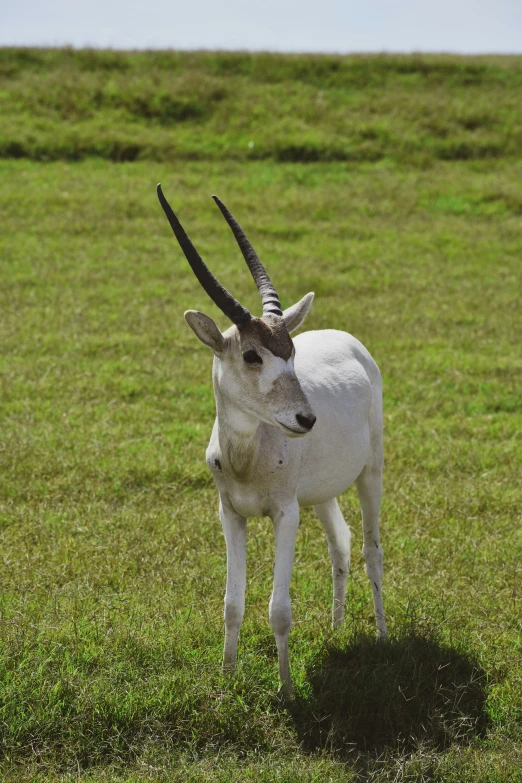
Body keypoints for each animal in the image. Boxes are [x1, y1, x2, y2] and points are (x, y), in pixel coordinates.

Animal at [156, 185, 384, 700]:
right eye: (252, 354)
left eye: (291, 351)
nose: (306, 418)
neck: (246, 459)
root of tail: (350, 340)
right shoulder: (231, 515)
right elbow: (232, 603)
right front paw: (227, 677)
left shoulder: (285, 514)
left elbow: (279, 610)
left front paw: (286, 689)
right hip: (319, 495)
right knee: (341, 542)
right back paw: (337, 631)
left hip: (370, 474)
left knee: (371, 550)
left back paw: (383, 637)